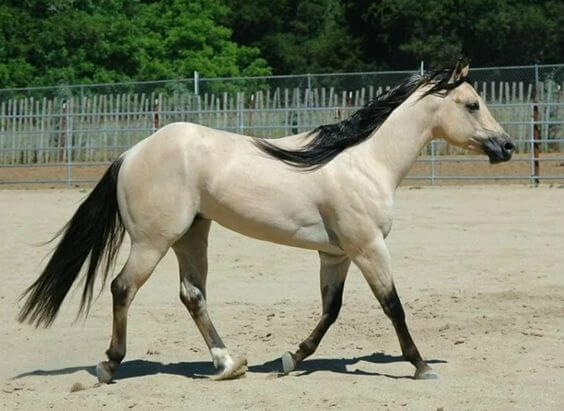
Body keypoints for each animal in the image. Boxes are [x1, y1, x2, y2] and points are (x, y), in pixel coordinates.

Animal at [17, 61, 512, 384]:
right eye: (472, 104)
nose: (506, 146)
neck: (365, 160)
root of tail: (132, 152)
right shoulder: (368, 246)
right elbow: (393, 305)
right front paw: (422, 366)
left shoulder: (335, 255)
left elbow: (331, 310)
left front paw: (292, 358)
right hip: (152, 241)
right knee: (123, 288)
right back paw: (109, 366)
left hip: (191, 235)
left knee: (192, 295)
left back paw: (228, 364)